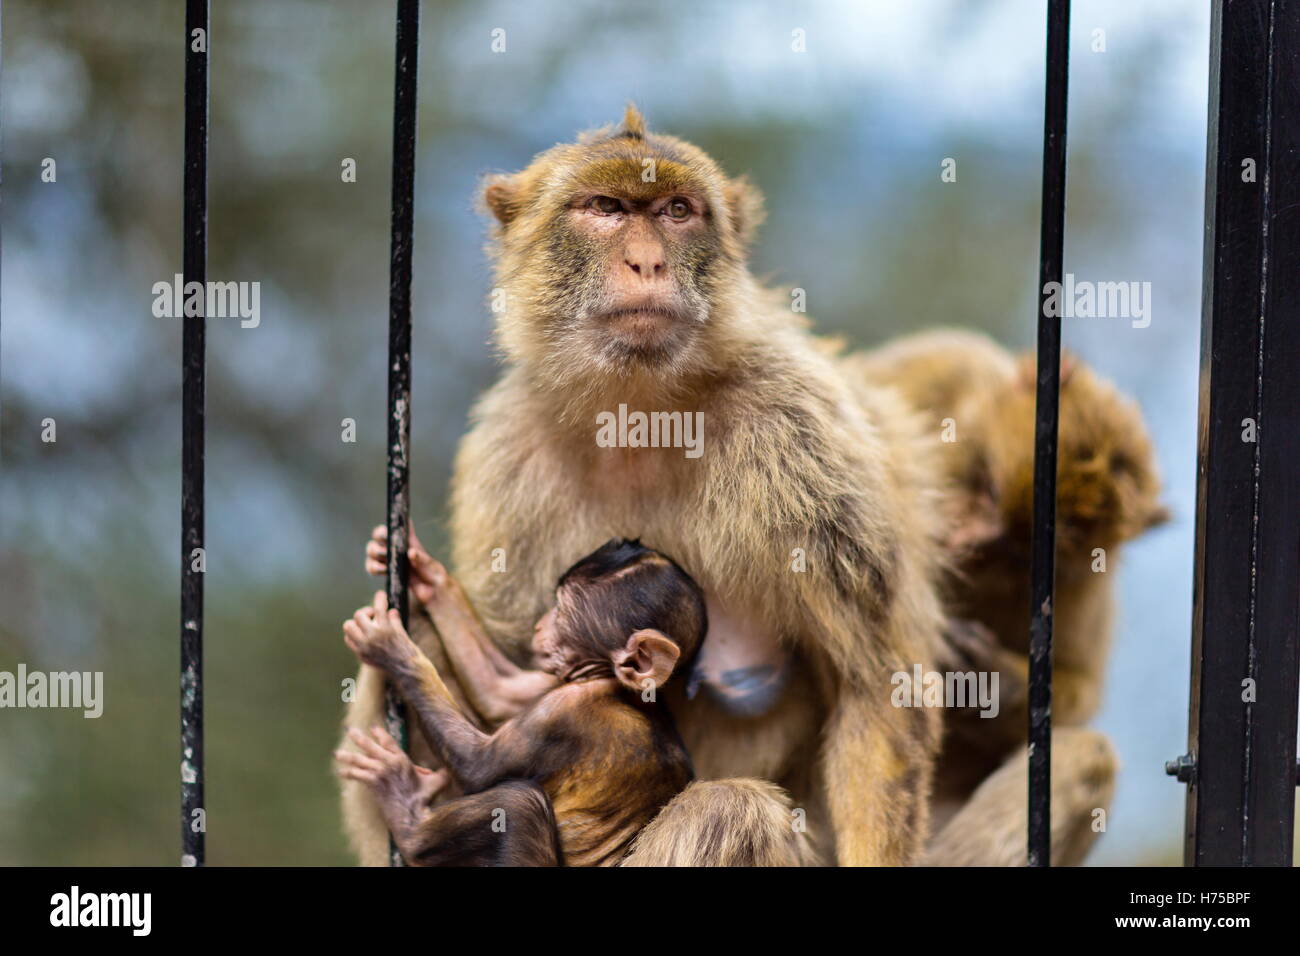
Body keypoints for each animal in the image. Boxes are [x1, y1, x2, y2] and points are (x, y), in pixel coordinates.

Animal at [337, 538, 705, 866]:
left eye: (560, 610)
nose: (540, 624)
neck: (614, 685)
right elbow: (499, 691)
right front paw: (429, 576)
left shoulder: (563, 713)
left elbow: (477, 766)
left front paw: (392, 650)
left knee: (519, 803)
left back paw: (408, 812)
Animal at [839, 328, 1169, 864]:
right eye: (986, 488)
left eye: (1015, 551)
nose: (965, 540)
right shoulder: (935, 366)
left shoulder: (1083, 585)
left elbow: (1079, 692)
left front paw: (992, 686)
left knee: (1088, 756)